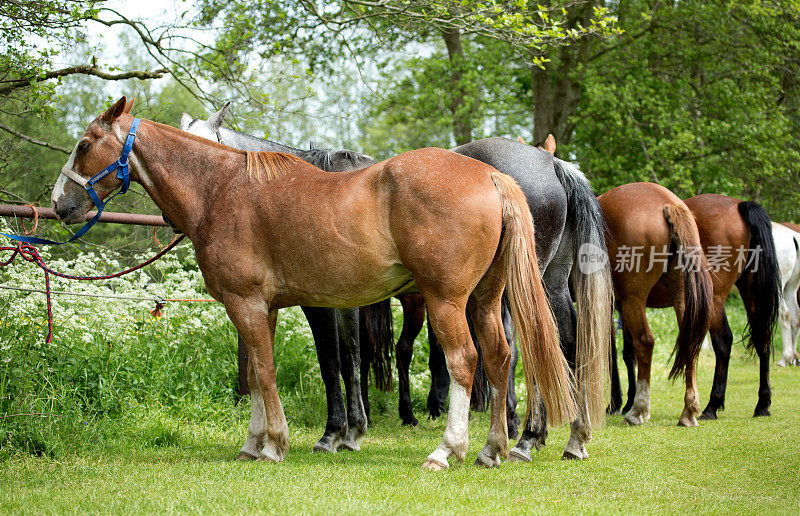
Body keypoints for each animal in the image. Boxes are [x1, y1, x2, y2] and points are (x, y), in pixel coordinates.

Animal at [50, 97, 576, 468]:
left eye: (84, 144)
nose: (59, 204)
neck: (222, 189)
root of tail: (493, 176)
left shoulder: (250, 304)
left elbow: (271, 371)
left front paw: (277, 444)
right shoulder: (264, 309)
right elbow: (260, 372)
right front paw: (255, 442)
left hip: (447, 301)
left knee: (466, 361)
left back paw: (450, 450)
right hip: (485, 300)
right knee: (503, 357)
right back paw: (494, 448)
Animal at [600, 183, 712, 426]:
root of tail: (667, 202)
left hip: (634, 299)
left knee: (644, 342)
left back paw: (638, 409)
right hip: (681, 298)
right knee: (689, 343)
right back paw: (689, 410)